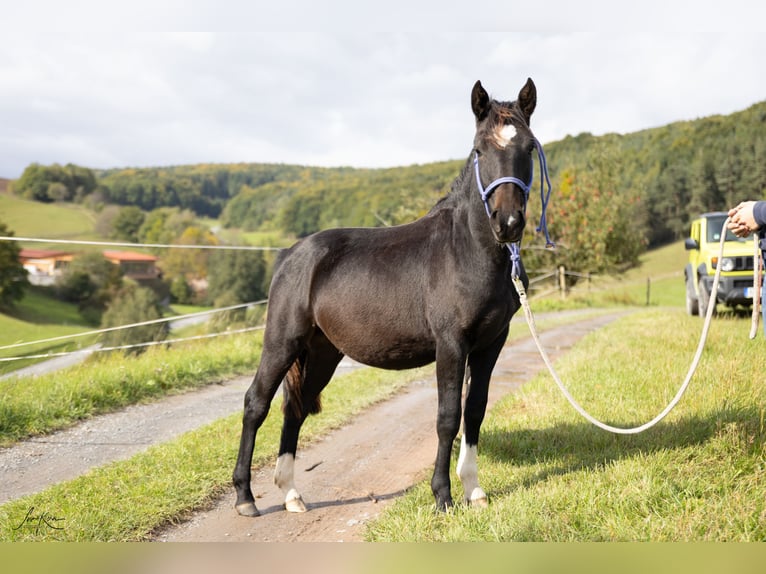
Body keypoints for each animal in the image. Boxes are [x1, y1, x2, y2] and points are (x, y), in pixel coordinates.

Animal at [233, 78, 539, 517]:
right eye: (480, 149)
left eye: (529, 147)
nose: (509, 222)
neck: (468, 250)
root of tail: (292, 254)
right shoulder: (451, 344)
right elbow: (448, 416)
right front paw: (443, 496)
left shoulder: (491, 343)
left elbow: (475, 411)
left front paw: (475, 490)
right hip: (282, 342)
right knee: (255, 403)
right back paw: (245, 497)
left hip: (322, 352)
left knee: (296, 408)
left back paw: (291, 494)